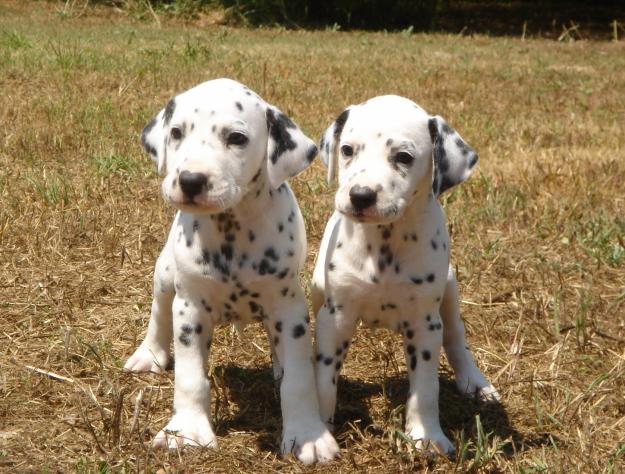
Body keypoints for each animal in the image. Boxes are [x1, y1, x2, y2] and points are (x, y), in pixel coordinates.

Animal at [125, 79, 338, 464]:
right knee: (158, 313)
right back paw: (148, 354)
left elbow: (298, 381)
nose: (191, 180)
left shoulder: (290, 311)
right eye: (176, 133)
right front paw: (187, 432)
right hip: (165, 275)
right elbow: (190, 377)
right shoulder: (190, 309)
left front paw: (307, 436)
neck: (232, 230)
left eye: (236, 138)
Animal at [314, 96, 500, 456]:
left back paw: (476, 383)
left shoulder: (424, 325)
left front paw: (426, 436)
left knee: (456, 338)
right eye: (347, 150)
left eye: (403, 157)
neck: (384, 243)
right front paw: (318, 429)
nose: (360, 195)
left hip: (449, 293)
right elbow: (325, 378)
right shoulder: (335, 317)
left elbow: (426, 388)